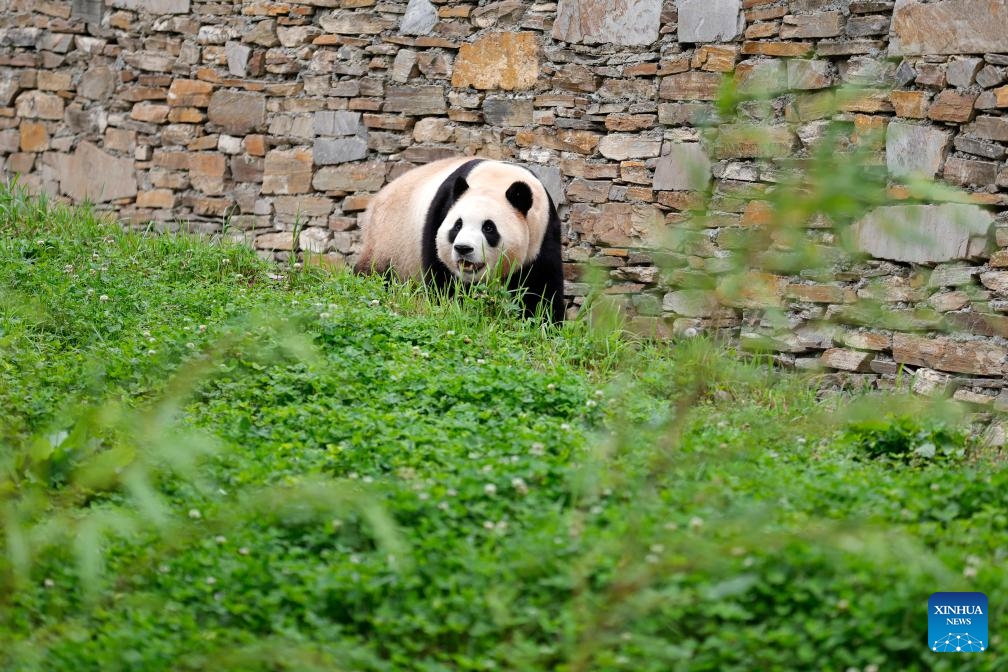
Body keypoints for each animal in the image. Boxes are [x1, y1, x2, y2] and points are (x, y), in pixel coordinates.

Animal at [355, 157, 565, 323]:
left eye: (489, 228)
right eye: (457, 226)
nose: (463, 248)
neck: (497, 181)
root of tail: (376, 199)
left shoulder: (542, 233)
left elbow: (540, 287)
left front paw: (544, 323)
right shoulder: (441, 211)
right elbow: (442, 276)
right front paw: (456, 309)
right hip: (389, 238)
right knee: (375, 271)